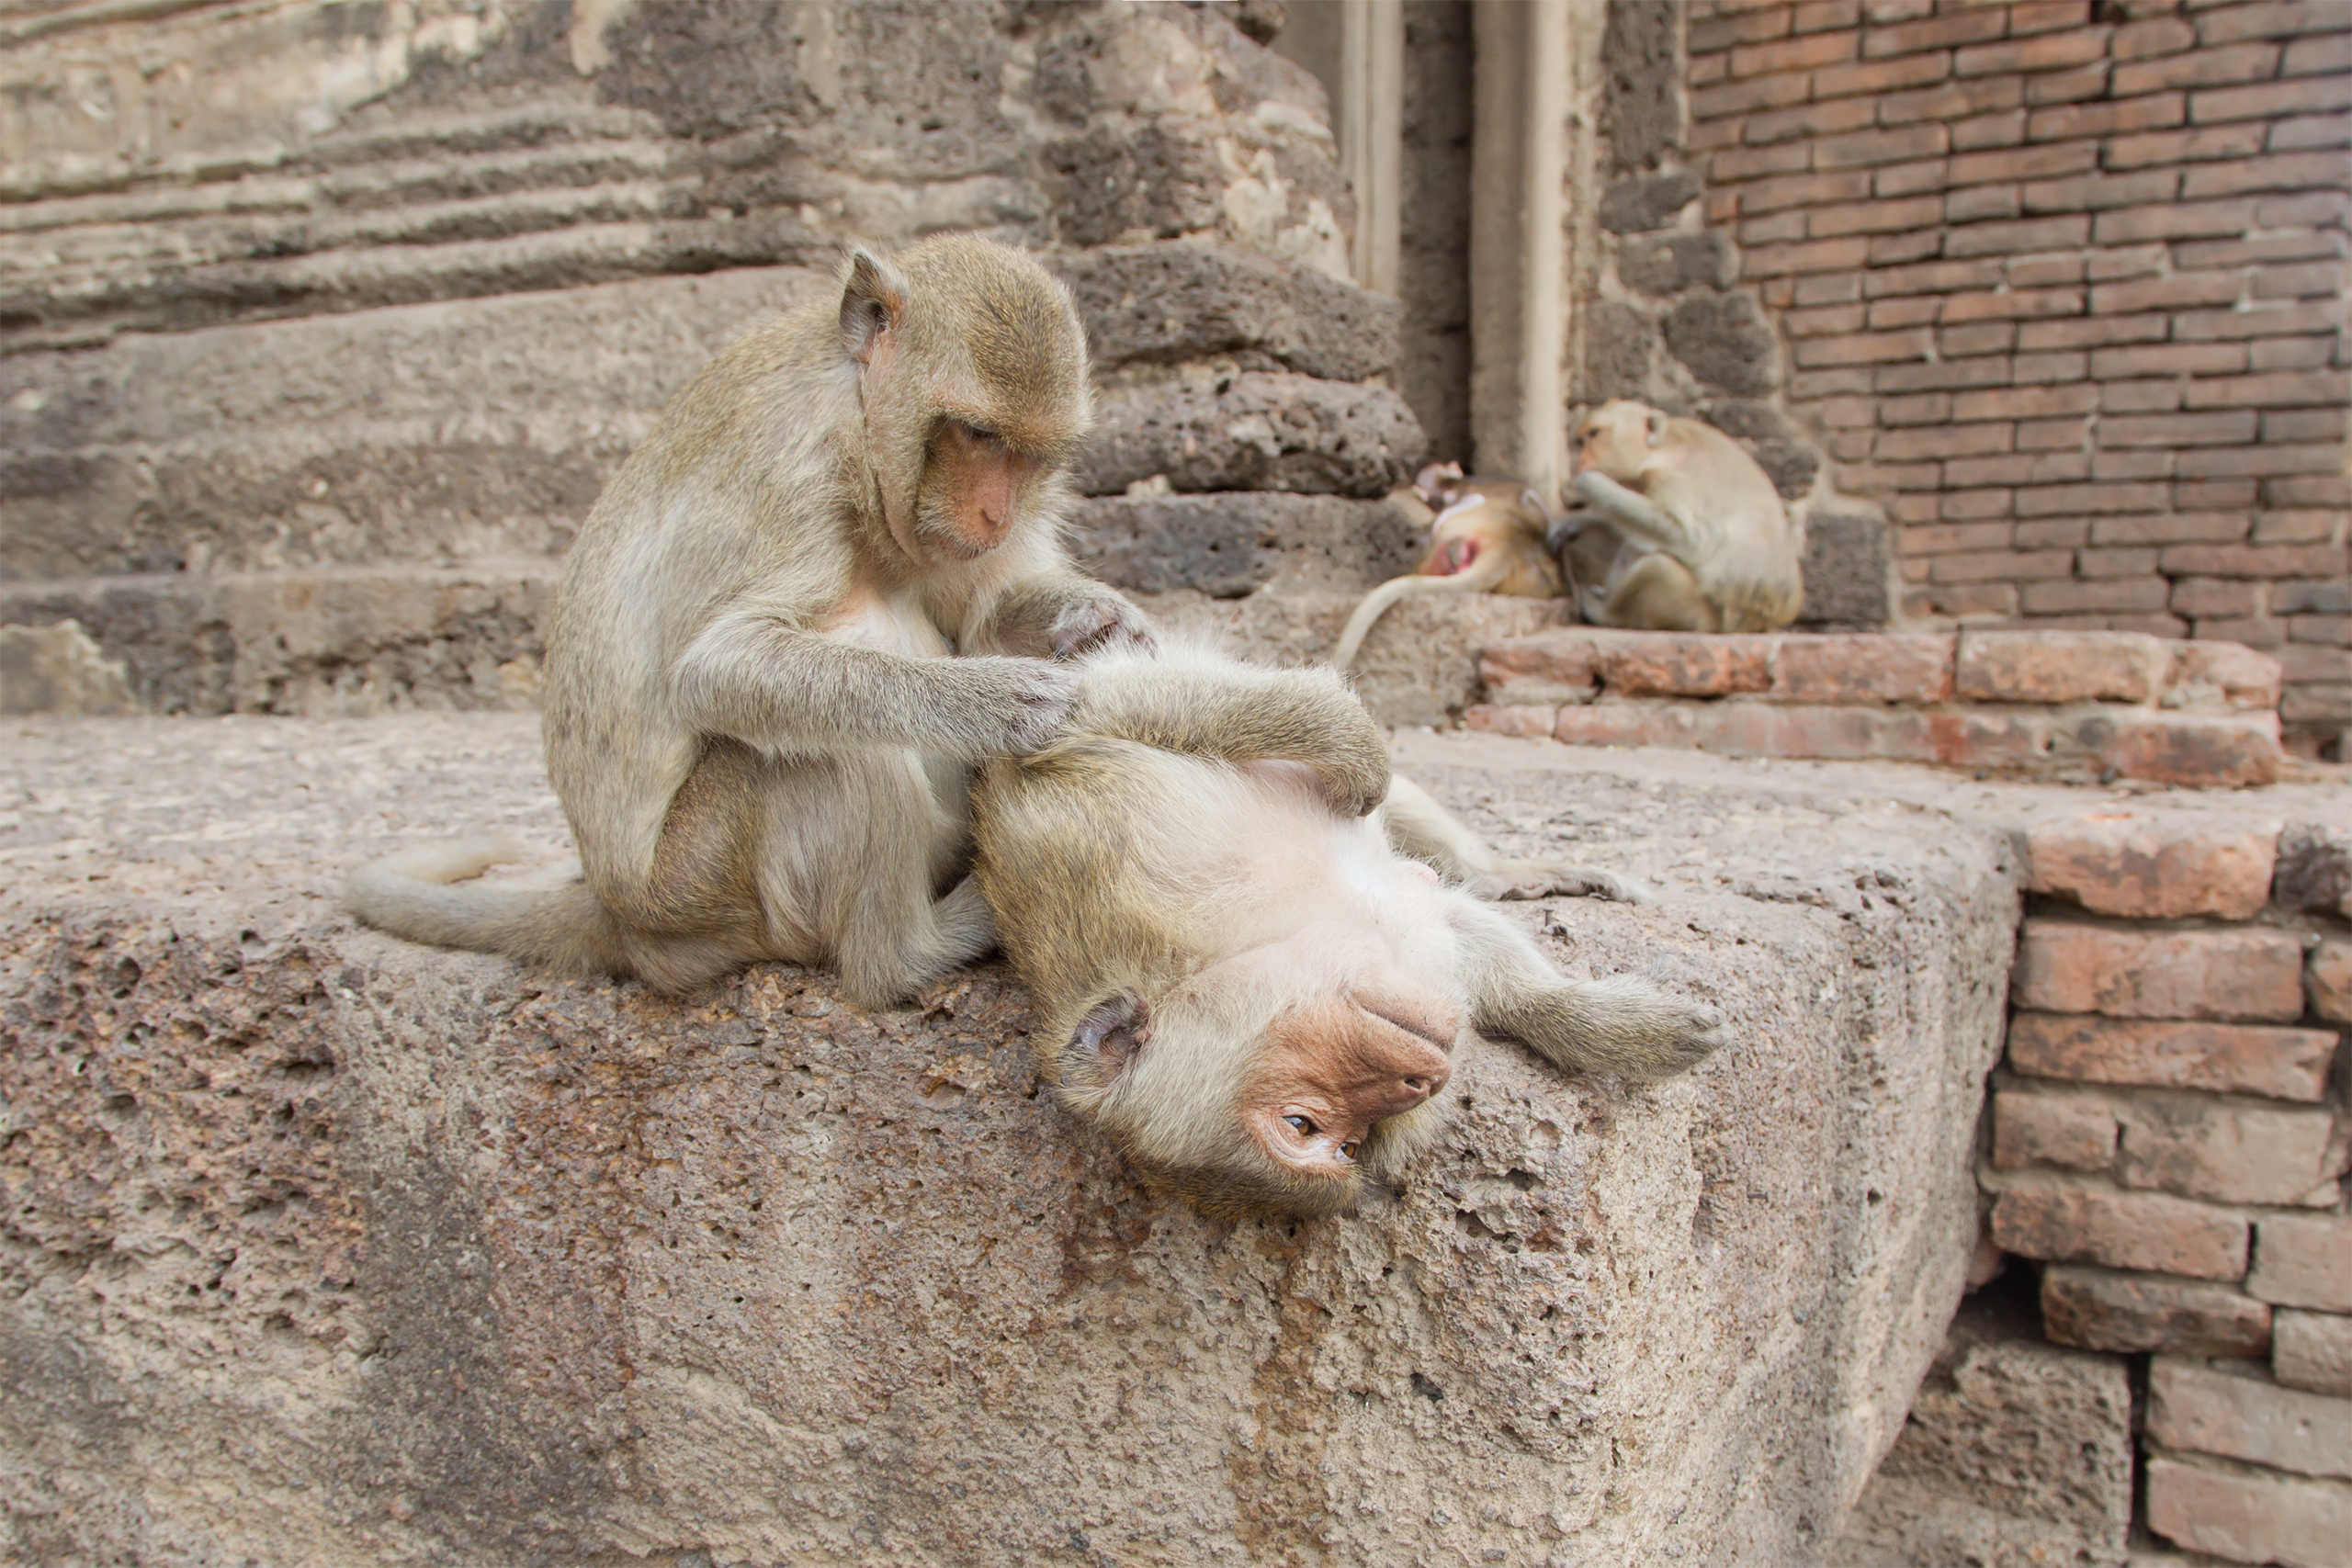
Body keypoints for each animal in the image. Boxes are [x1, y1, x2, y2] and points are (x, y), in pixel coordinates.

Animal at [973, 644, 1731, 1222]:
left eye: (1301, 1124)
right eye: (1332, 1139)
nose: (1421, 1079)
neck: (1249, 942)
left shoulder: (1105, 843)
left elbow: (1094, 711)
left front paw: (1349, 749)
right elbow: (1466, 937)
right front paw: (1593, 1021)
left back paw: (1511, 869)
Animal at [1552, 401, 1806, 634]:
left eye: (1594, 434)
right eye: (1582, 440)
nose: (1582, 461)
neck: (1665, 449)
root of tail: (1763, 624)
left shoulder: (1675, 481)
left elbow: (1693, 540)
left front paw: (1593, 487)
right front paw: (1576, 520)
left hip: (1703, 616)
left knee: (1659, 568)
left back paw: (1605, 612)